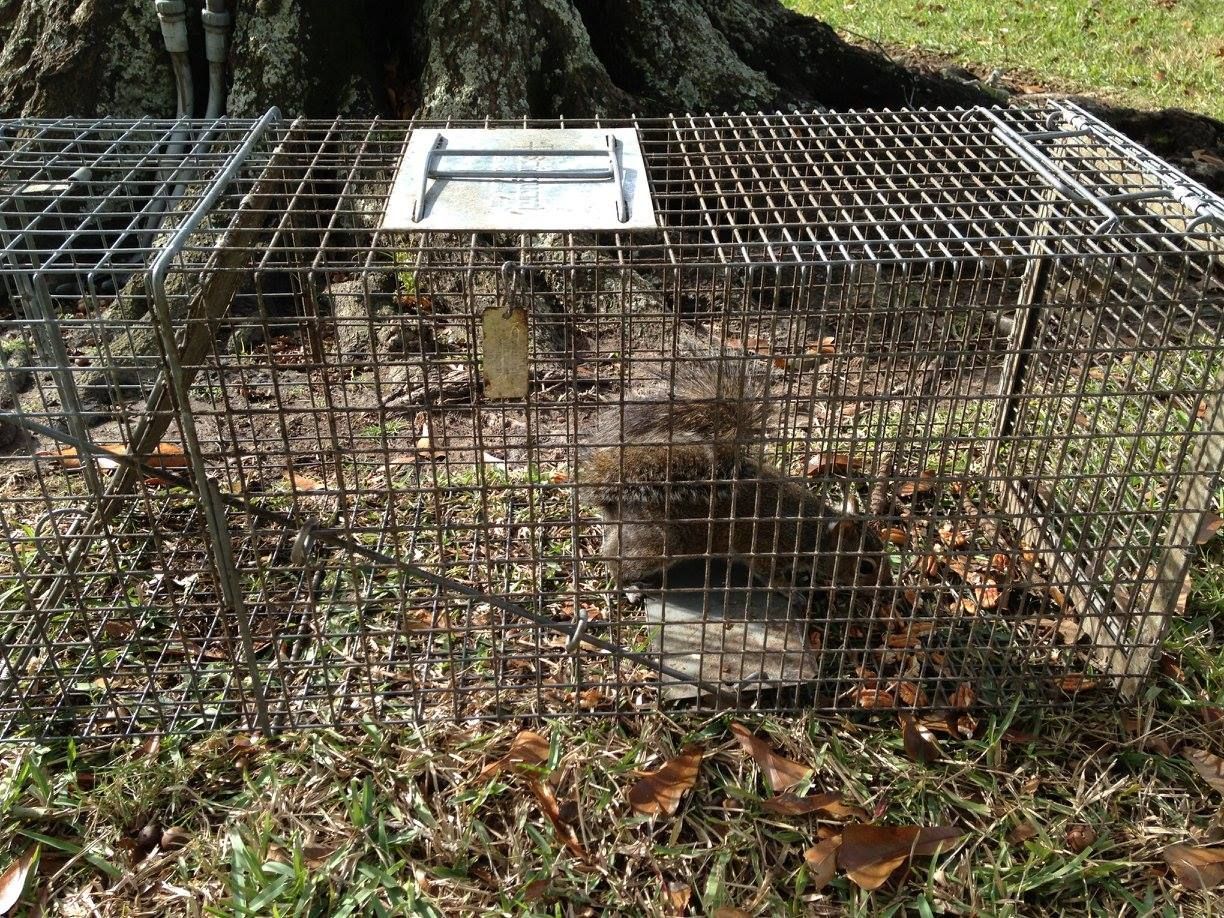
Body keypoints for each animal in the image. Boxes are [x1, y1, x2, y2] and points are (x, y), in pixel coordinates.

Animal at [579, 362, 893, 605]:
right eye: (866, 566)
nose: (886, 590)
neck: (810, 530)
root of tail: (615, 503)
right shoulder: (766, 547)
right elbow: (770, 576)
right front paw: (791, 590)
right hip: (656, 543)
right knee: (613, 562)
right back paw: (630, 587)